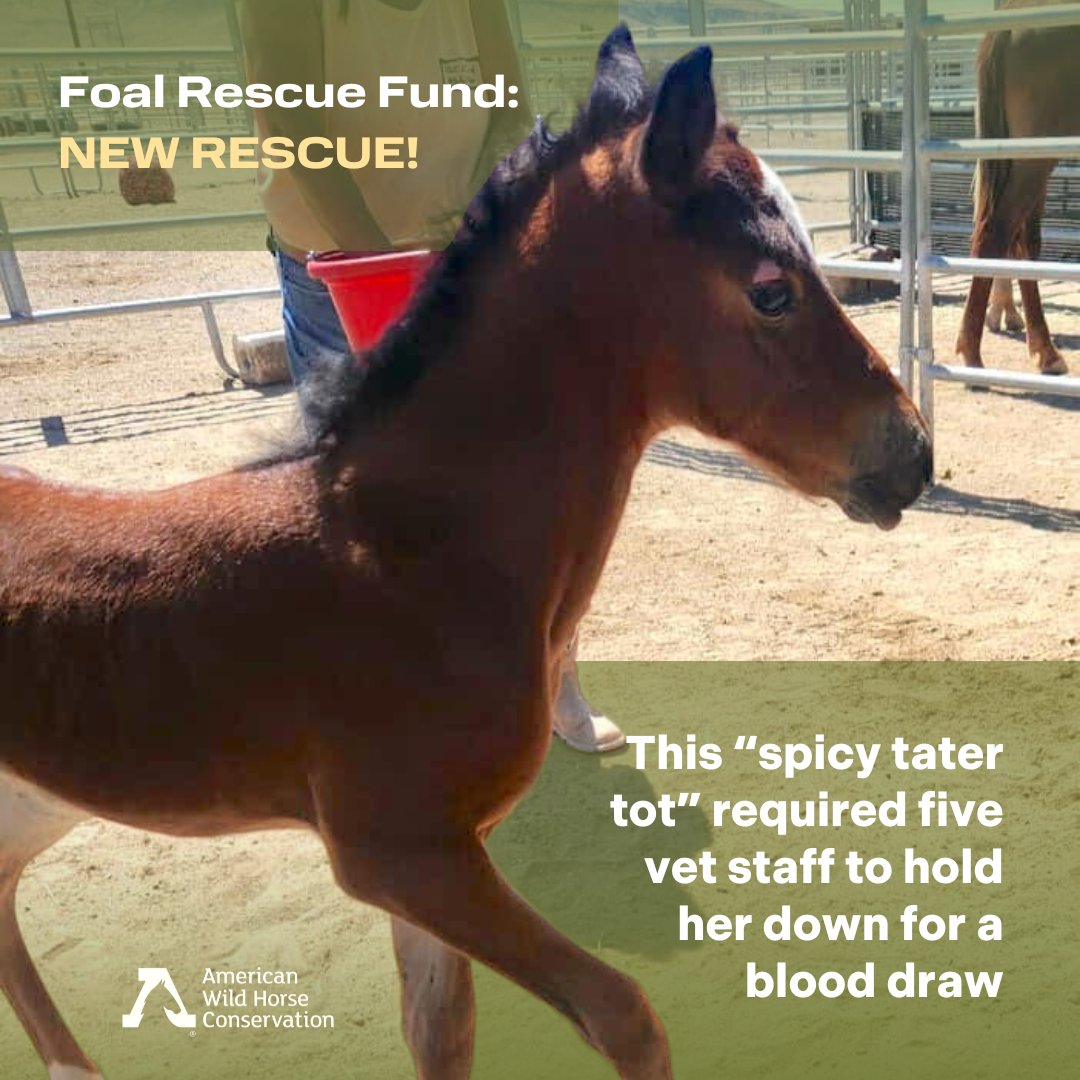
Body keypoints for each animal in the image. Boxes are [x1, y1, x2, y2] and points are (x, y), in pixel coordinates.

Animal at [0, 26, 930, 1080]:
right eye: (771, 290)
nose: (914, 454)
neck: (409, 557)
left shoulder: (434, 865)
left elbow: (440, 1033)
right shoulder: (398, 856)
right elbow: (622, 1012)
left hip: (31, 805)